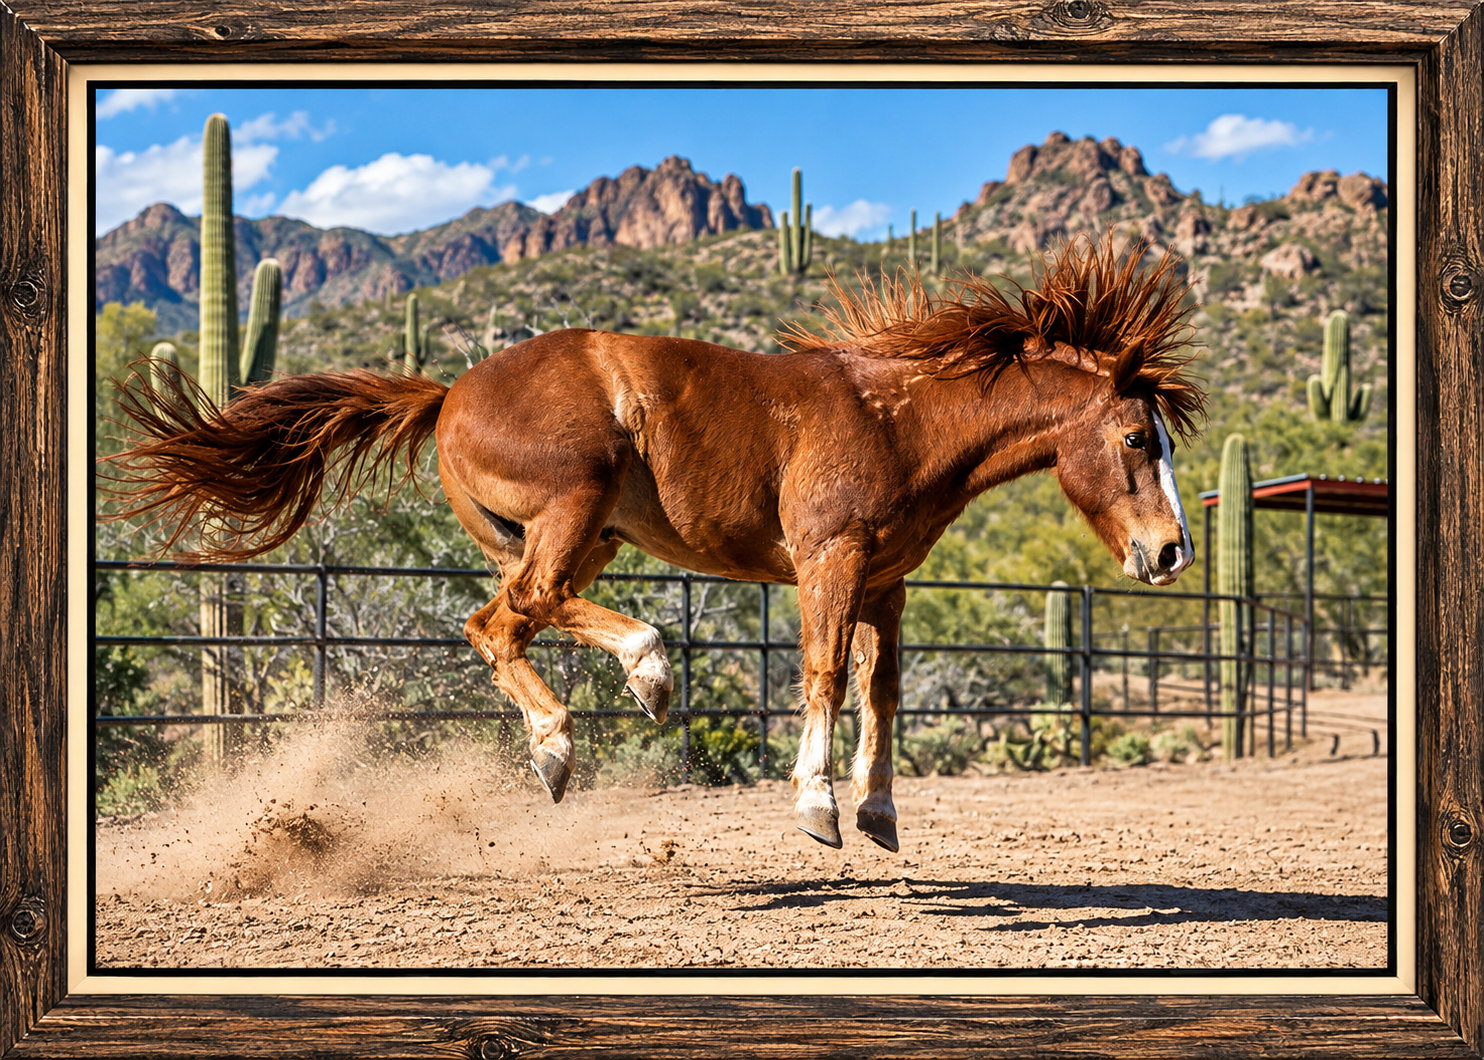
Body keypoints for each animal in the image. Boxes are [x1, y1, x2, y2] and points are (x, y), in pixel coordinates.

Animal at [103, 235, 1205, 853]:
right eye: (1133, 440)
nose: (1171, 554)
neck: (894, 416)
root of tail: (448, 391)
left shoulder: (887, 583)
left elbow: (881, 693)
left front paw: (881, 815)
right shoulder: (830, 562)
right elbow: (818, 674)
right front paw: (817, 808)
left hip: (575, 536)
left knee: (495, 622)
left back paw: (555, 750)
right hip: (574, 509)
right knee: (528, 608)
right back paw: (643, 676)